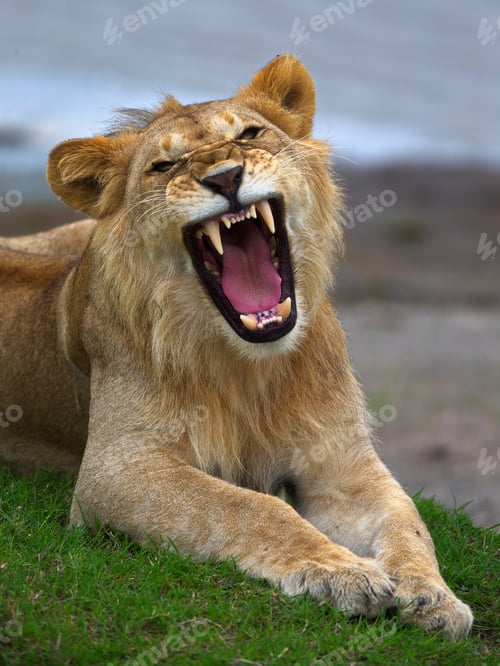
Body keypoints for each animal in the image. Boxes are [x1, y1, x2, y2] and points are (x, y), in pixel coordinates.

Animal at [0, 55, 472, 638]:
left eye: (249, 134)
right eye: (163, 166)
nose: (225, 177)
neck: (250, 366)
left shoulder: (343, 467)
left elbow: (408, 522)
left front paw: (433, 596)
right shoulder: (116, 470)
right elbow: (249, 508)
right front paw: (342, 572)